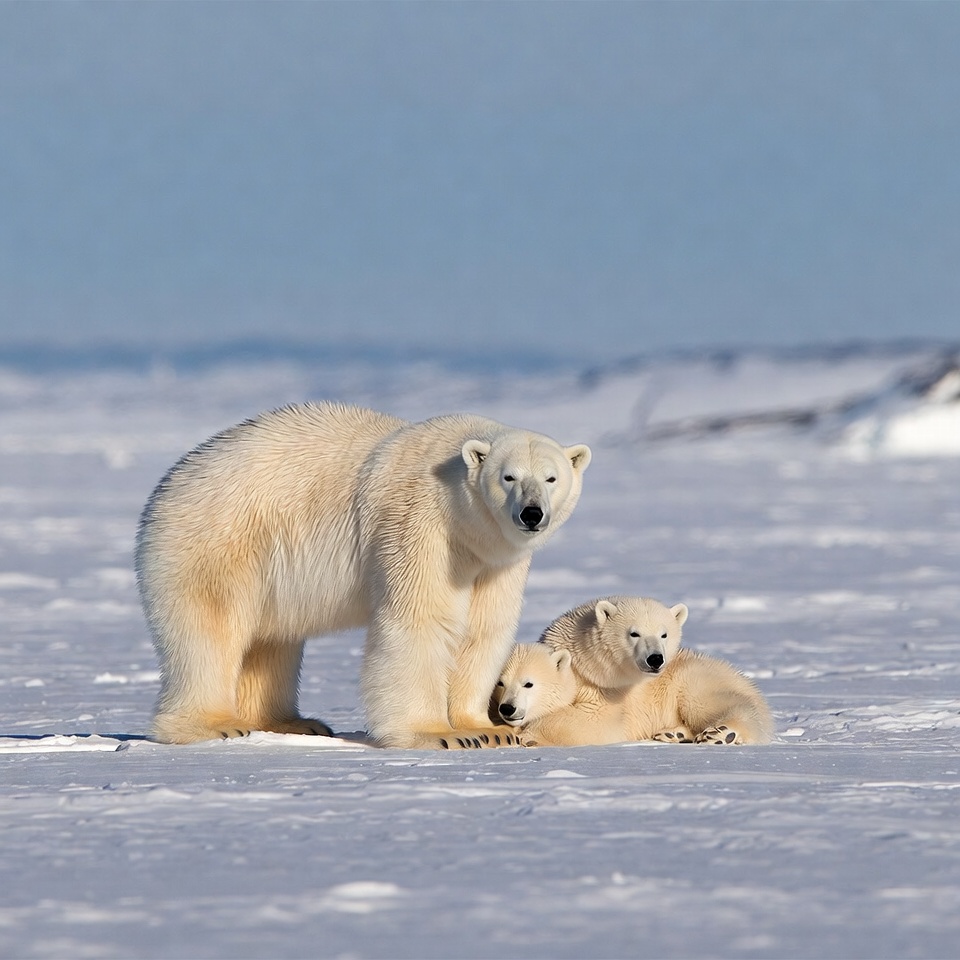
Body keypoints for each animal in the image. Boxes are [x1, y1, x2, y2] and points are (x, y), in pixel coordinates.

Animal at [135, 402, 590, 749]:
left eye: (551, 478)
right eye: (508, 476)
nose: (532, 514)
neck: (464, 521)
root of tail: (167, 486)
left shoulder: (493, 563)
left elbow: (483, 628)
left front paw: (487, 730)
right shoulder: (420, 524)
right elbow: (422, 620)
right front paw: (440, 734)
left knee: (270, 641)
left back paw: (291, 722)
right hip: (219, 543)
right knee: (211, 630)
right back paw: (217, 724)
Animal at [493, 596, 774, 746]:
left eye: (528, 684)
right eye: (500, 683)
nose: (508, 709)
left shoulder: (608, 699)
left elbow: (596, 722)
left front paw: (528, 735)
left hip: (694, 680)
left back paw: (722, 733)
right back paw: (672, 732)